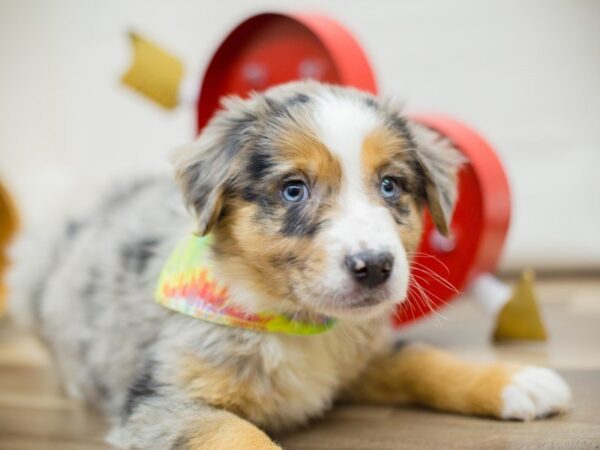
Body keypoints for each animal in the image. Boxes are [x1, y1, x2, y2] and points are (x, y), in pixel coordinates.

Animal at [10, 81, 572, 450]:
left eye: (390, 185)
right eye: (293, 189)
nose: (375, 267)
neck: (295, 323)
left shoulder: (362, 352)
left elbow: (420, 358)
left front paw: (517, 381)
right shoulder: (164, 400)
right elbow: (238, 433)